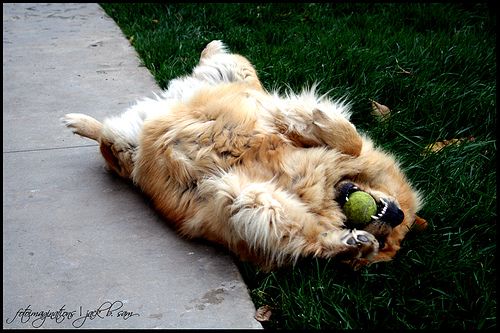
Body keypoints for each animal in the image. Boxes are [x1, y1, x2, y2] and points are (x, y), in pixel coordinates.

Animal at [61, 40, 426, 272]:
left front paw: (353, 242)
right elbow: (348, 141)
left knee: (106, 140)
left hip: (124, 149)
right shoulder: (282, 120)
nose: (395, 216)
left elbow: (305, 236)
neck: (321, 189)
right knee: (221, 63)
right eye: (398, 217)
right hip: (233, 72)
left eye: (389, 240)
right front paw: (322, 119)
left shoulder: (248, 200)